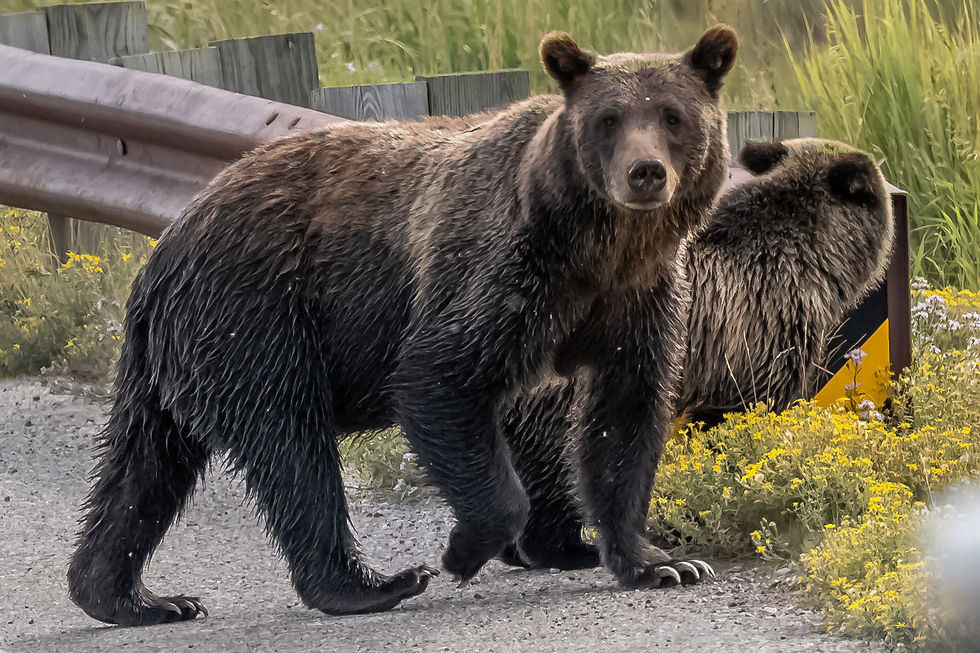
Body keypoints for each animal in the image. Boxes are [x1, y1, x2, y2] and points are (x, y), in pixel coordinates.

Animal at [66, 27, 737, 625]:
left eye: (673, 116)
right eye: (609, 119)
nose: (645, 172)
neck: (600, 249)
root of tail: (171, 237)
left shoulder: (639, 299)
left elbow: (624, 416)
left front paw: (658, 562)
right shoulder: (500, 271)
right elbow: (438, 376)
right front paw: (462, 550)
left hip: (175, 351)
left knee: (144, 464)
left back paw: (129, 595)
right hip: (258, 316)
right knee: (292, 447)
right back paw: (370, 584)